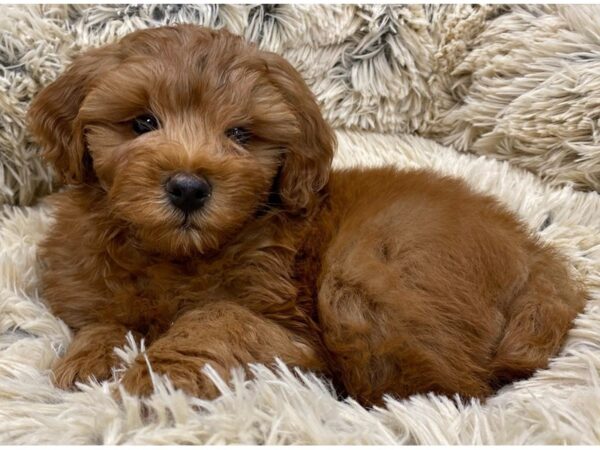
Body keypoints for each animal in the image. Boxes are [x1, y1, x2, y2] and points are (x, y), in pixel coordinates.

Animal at [28, 23, 584, 404]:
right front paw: (90, 359)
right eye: (142, 122)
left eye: (240, 134)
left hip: (367, 273)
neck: (176, 254)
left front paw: (156, 376)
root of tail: (537, 255)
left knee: (449, 386)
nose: (188, 188)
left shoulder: (296, 336)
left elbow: (218, 317)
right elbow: (104, 317)